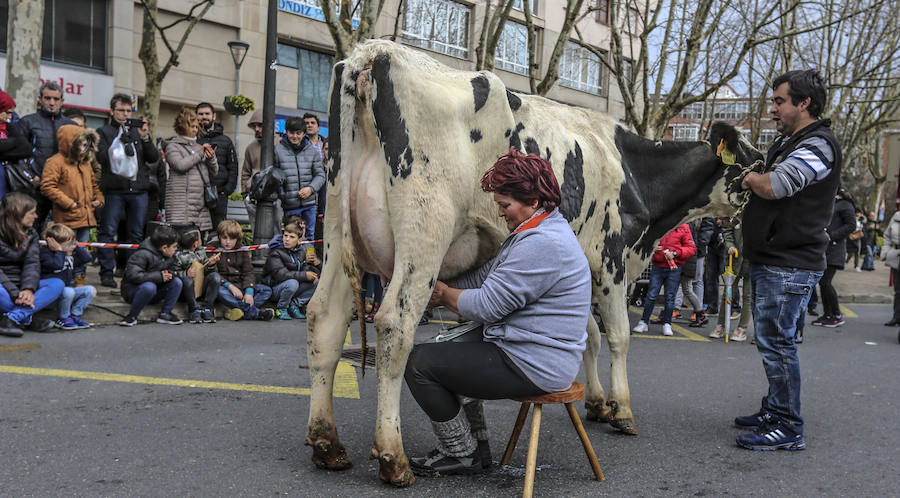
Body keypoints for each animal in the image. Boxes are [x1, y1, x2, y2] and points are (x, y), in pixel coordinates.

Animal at [306, 40, 764, 486]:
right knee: (394, 326)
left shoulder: (583, 268)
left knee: (324, 318)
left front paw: (596, 402)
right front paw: (622, 410)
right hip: (425, 229)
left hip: (336, 229)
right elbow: (617, 336)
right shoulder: (611, 260)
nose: (746, 233)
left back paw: (327, 444)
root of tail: (374, 51)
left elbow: (588, 336)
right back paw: (393, 457)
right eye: (755, 163)